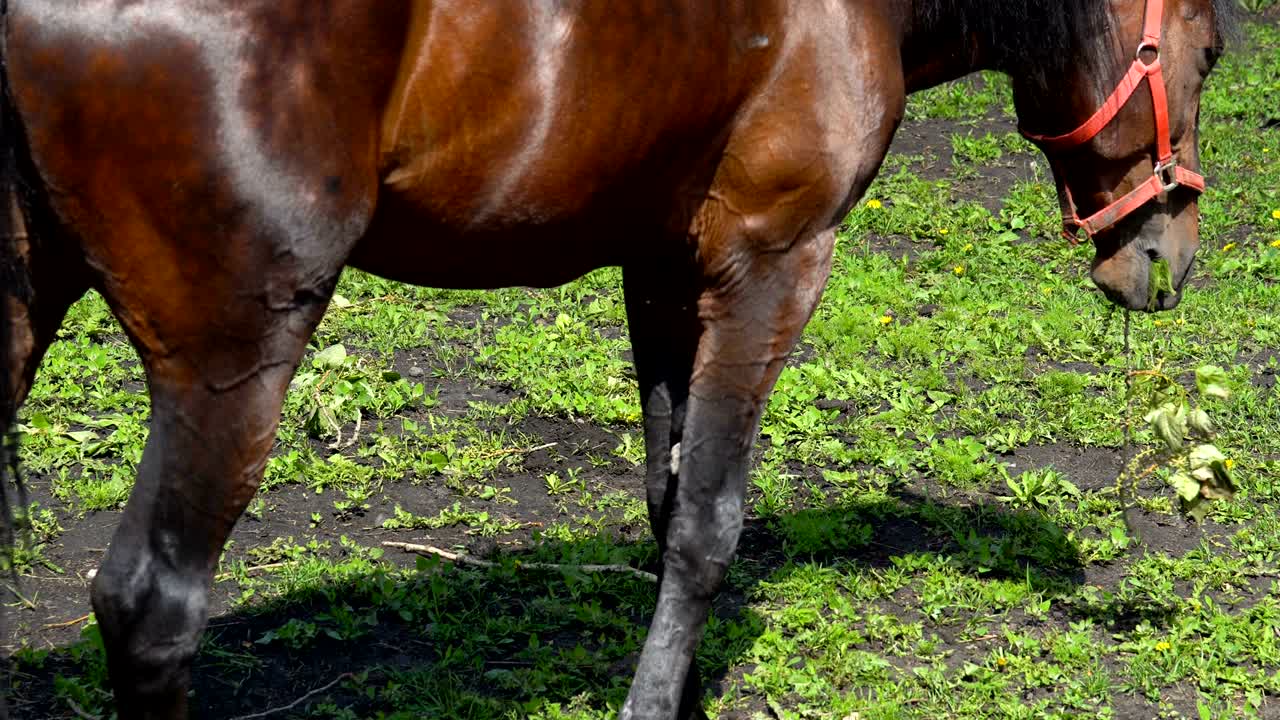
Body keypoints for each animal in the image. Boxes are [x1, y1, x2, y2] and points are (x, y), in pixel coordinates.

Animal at [0, 0, 1233, 718]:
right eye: (1214, 50)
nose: (1168, 258)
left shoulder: (662, 265)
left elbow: (664, 494)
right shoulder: (773, 266)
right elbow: (705, 525)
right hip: (234, 356)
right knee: (152, 609)